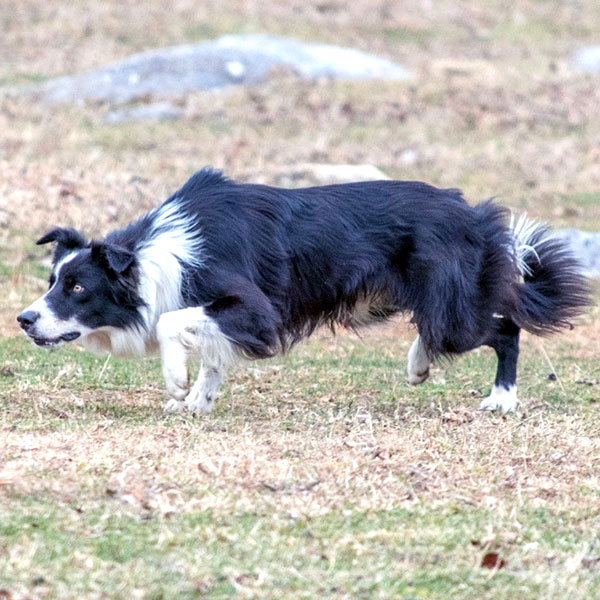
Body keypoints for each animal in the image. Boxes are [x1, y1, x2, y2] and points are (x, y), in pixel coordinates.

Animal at [16, 169, 588, 412]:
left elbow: (173, 319)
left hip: (449, 306)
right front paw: (196, 403)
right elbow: (213, 354)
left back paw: (501, 399)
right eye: (52, 282)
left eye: (76, 287)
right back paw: (418, 364)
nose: (23, 320)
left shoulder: (251, 305)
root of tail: (475, 216)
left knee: (503, 329)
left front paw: (177, 383)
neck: (153, 256)